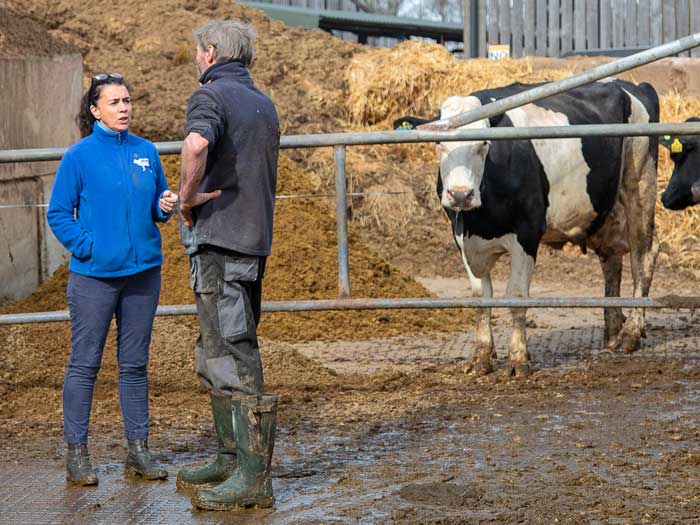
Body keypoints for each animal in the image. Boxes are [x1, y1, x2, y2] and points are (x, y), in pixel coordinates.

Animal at [396, 79, 660, 376]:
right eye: (439, 143)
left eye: (484, 144)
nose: (461, 195)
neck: (482, 220)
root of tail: (630, 84)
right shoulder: (462, 238)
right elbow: (480, 298)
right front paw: (481, 357)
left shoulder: (527, 232)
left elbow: (517, 296)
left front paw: (518, 359)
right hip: (604, 206)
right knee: (612, 260)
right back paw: (613, 330)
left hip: (640, 182)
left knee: (643, 257)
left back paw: (631, 333)